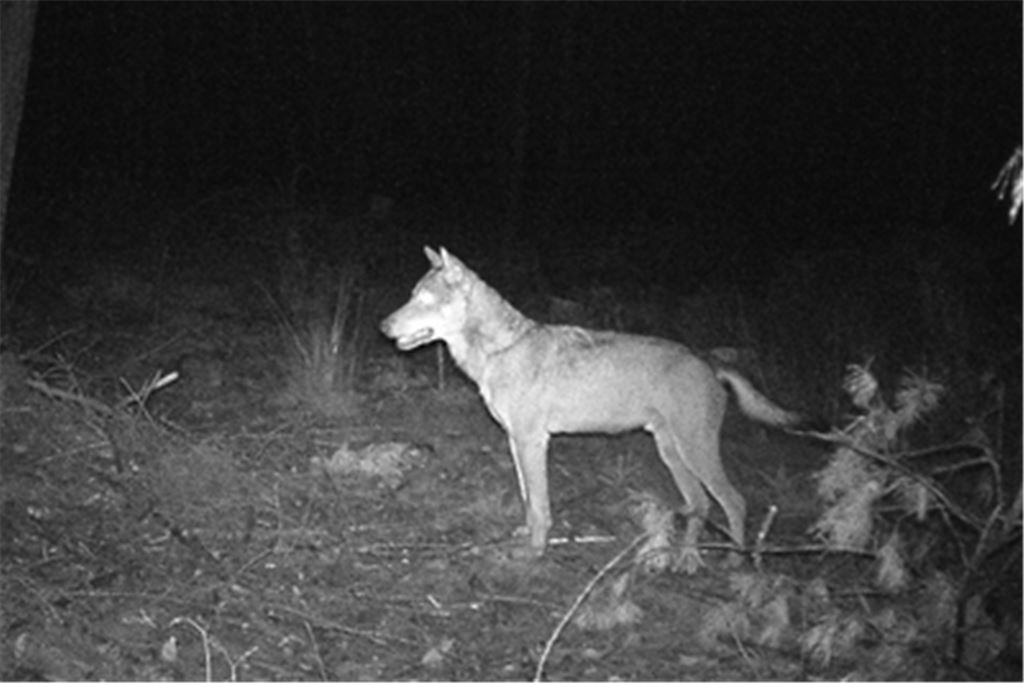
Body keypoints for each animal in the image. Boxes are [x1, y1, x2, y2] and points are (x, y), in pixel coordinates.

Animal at [381, 247, 804, 572]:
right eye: (411, 294)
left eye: (424, 299)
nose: (383, 326)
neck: (501, 350)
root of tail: (708, 360)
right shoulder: (516, 441)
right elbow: (527, 499)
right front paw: (526, 537)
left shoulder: (533, 442)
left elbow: (540, 505)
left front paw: (535, 551)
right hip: (671, 452)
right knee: (700, 504)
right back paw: (684, 558)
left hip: (695, 451)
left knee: (734, 501)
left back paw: (732, 561)